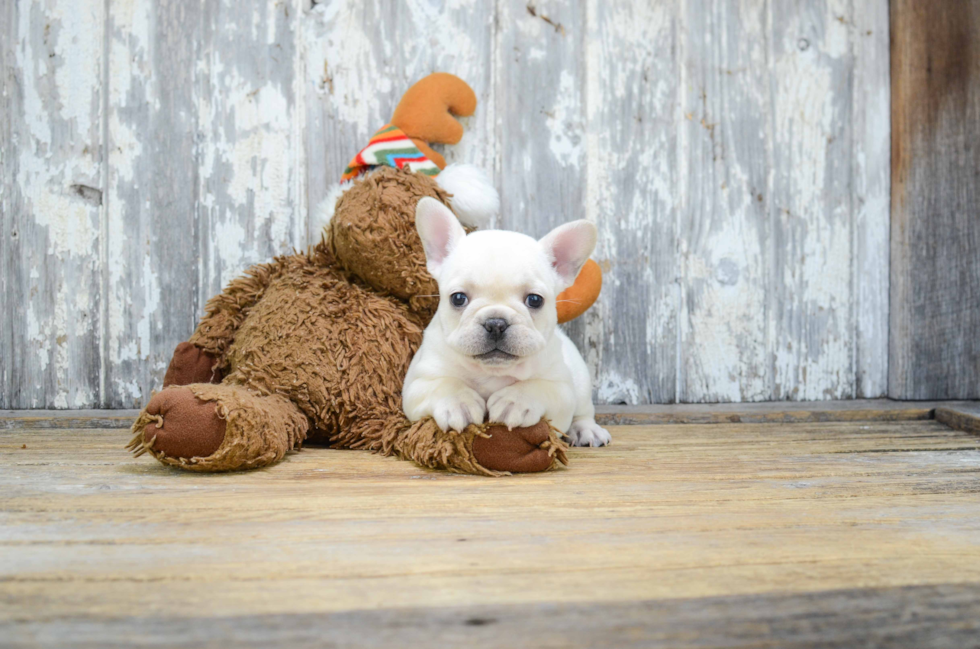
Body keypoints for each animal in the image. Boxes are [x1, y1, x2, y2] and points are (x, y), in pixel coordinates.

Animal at [402, 196, 608, 446]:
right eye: (458, 298)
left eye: (534, 300)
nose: (496, 323)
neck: (493, 371)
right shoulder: (419, 382)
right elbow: (443, 384)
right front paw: (458, 402)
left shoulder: (561, 388)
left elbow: (540, 387)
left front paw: (515, 401)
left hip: (581, 384)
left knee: (584, 411)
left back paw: (586, 430)